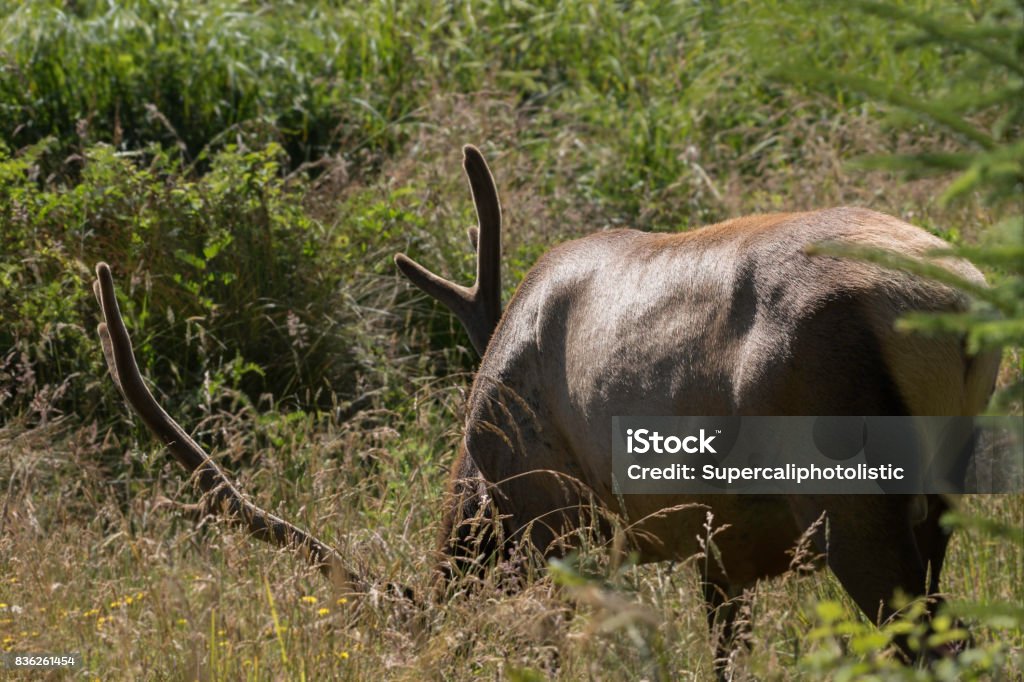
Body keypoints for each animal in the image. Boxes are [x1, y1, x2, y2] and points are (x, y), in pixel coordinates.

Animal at [92, 144, 1001, 670]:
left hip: (852, 498)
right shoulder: (721, 548)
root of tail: (956, 304)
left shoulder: (564, 521)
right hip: (938, 504)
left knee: (938, 646)